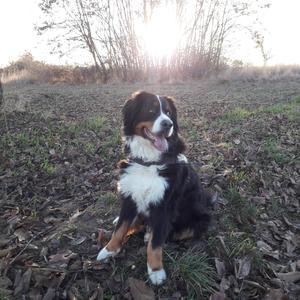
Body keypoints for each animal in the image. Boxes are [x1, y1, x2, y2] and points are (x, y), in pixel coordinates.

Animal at [97, 92, 210, 286]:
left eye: (169, 112)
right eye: (151, 110)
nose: (168, 124)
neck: (149, 162)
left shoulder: (163, 206)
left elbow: (156, 243)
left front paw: (156, 270)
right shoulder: (130, 195)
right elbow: (120, 228)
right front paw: (109, 249)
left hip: (199, 220)